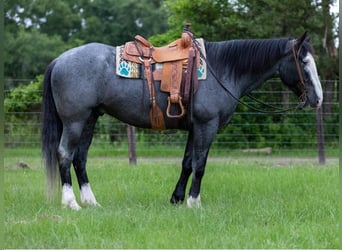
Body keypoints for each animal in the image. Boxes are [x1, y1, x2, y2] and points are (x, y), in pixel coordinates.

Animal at [41, 32, 322, 210]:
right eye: (304, 61)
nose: (318, 99)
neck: (222, 69)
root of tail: (59, 60)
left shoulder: (194, 127)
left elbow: (187, 163)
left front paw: (176, 199)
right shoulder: (207, 126)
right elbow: (200, 165)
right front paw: (193, 202)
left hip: (89, 119)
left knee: (80, 158)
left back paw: (91, 201)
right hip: (75, 121)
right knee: (65, 154)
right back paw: (70, 203)